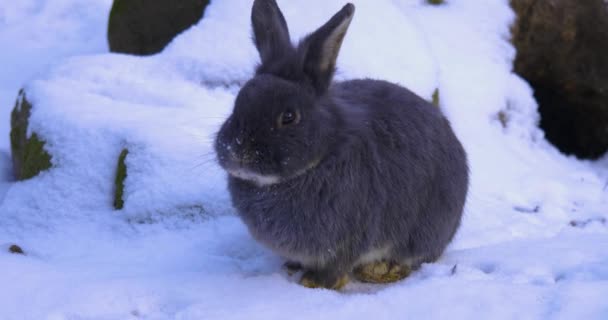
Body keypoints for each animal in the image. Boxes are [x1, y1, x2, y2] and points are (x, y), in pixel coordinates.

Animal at [215, 0, 470, 290]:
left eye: (289, 116)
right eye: (239, 100)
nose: (236, 151)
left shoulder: (347, 239)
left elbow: (335, 268)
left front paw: (314, 283)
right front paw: (294, 268)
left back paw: (383, 270)